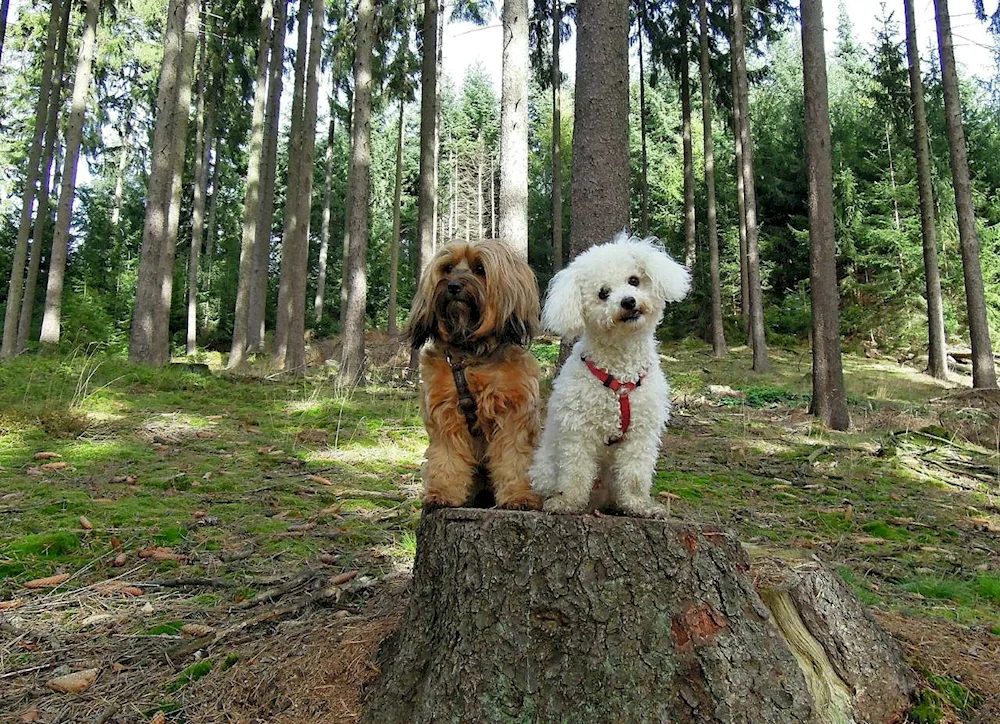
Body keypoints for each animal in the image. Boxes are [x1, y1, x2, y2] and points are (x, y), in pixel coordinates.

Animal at [408, 239, 544, 510]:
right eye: (448, 268)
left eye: (480, 269)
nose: (453, 286)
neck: (471, 355)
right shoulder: (446, 412)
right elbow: (447, 457)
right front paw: (443, 493)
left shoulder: (515, 413)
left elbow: (514, 458)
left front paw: (519, 496)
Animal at [532, 232, 688, 516]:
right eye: (603, 293)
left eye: (634, 280)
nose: (628, 301)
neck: (621, 373)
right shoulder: (578, 430)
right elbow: (575, 471)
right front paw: (567, 502)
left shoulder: (641, 434)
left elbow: (635, 474)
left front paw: (639, 505)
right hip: (545, 467)